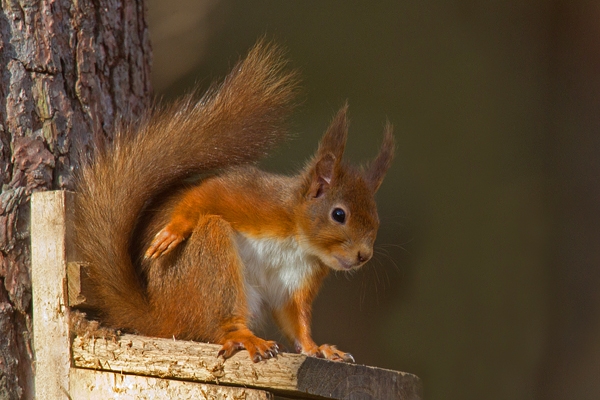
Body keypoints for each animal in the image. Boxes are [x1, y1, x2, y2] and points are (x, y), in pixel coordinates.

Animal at [75, 39, 394, 362]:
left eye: (377, 221)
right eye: (339, 214)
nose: (364, 255)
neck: (297, 238)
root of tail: (161, 319)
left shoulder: (297, 281)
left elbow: (295, 319)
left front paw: (317, 348)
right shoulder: (254, 199)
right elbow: (206, 193)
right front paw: (174, 230)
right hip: (210, 257)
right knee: (220, 320)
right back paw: (245, 337)